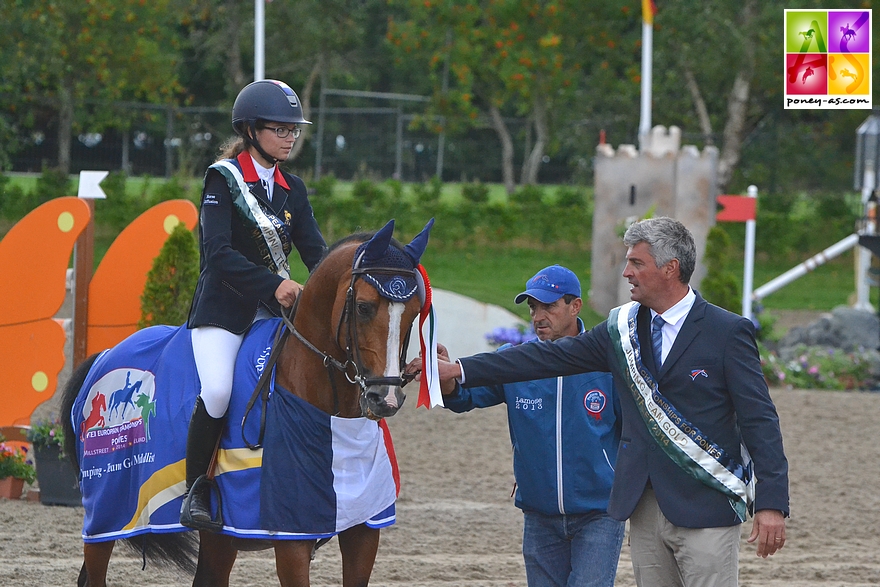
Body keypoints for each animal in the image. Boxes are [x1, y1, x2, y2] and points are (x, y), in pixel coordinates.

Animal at [58, 219, 436, 587]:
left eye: (415, 312)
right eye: (363, 307)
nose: (385, 398)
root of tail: (105, 356)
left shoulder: (362, 529)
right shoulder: (291, 538)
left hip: (217, 539)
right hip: (107, 514)